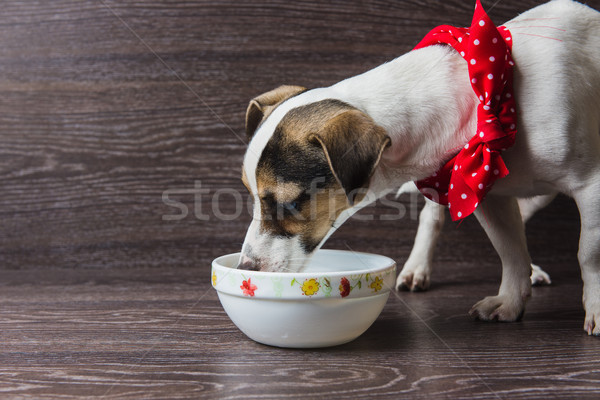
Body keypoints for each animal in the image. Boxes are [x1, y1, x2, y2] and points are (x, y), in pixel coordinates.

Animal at [239, 0, 600, 334]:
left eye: (290, 204)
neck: (488, 93)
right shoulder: (482, 189)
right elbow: (509, 249)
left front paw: (595, 307)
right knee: (439, 218)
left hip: (539, 191)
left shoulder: (590, 186)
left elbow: (588, 253)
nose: (246, 267)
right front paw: (510, 302)